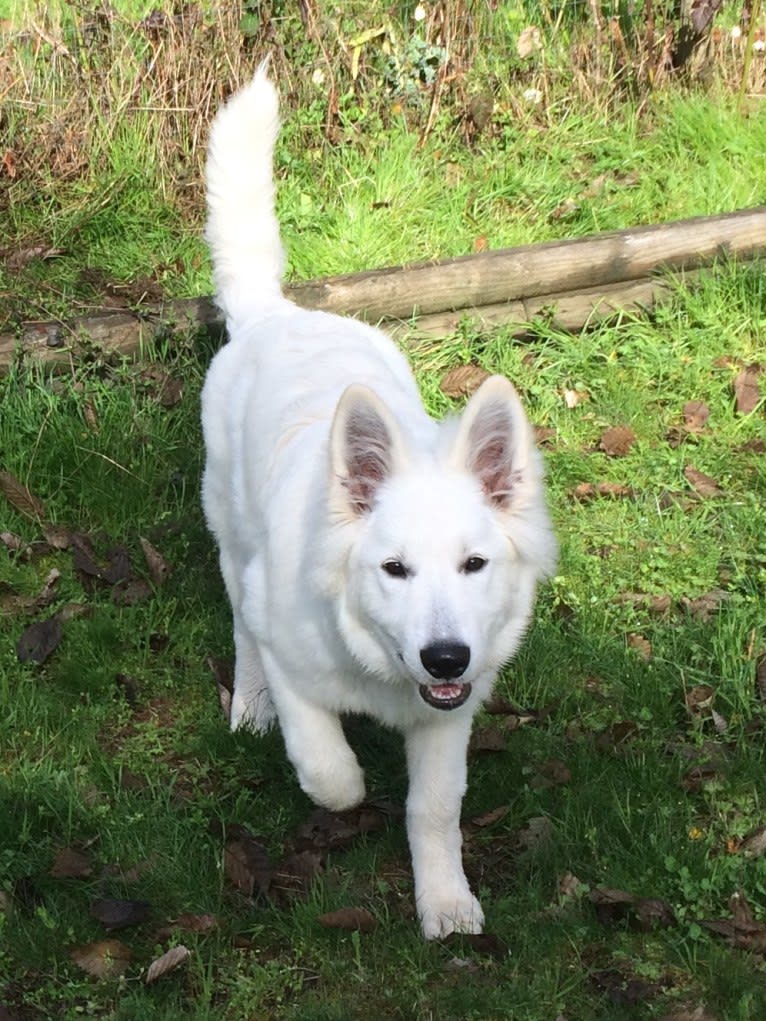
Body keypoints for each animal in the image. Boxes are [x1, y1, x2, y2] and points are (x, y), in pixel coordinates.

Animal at [201, 65, 555, 939]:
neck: (378, 662)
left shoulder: (449, 717)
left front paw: (446, 899)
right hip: (231, 541)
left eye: (474, 564)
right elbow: (330, 768)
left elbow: (434, 810)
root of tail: (275, 313)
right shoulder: (294, 654)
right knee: (241, 627)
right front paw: (342, 788)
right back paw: (249, 704)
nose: (446, 656)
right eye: (393, 569)